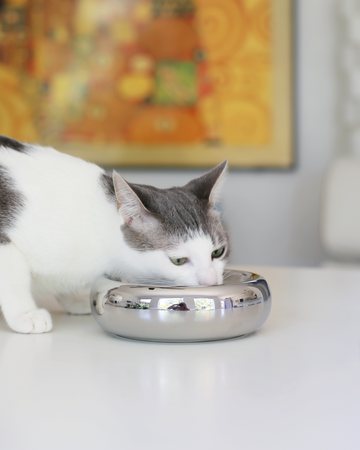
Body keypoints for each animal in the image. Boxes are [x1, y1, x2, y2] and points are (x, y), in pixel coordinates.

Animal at [0, 135, 229, 332]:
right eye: (178, 260)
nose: (211, 281)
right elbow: (13, 278)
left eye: (218, 252)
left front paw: (73, 299)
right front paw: (25, 314)